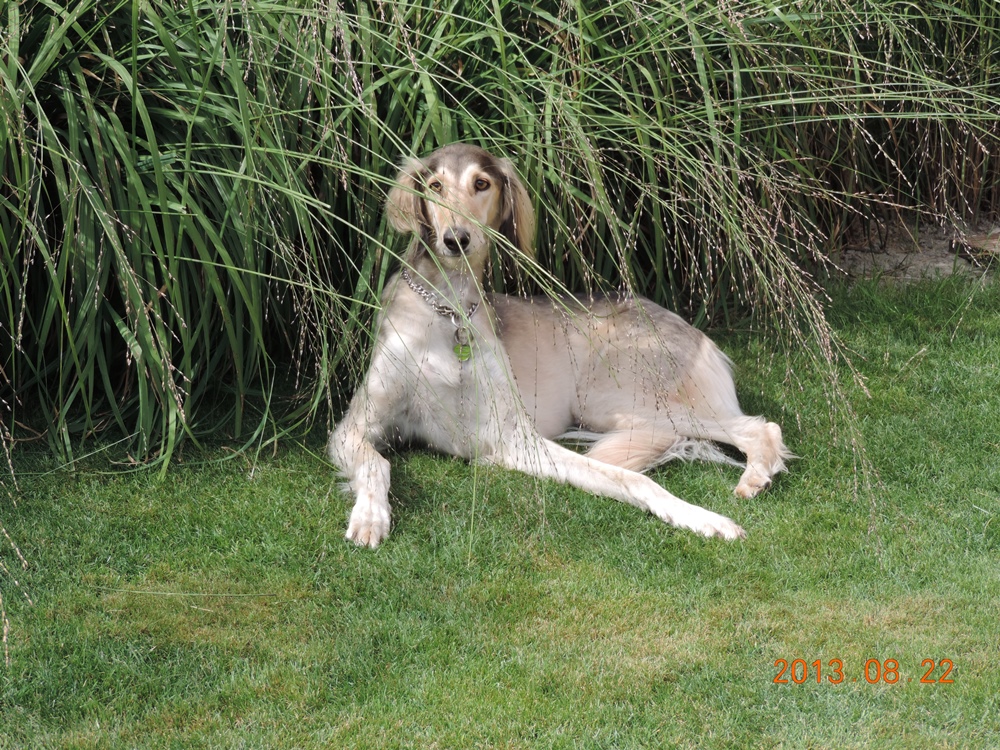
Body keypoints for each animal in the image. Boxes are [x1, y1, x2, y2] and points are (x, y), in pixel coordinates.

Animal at [328, 144, 788, 548]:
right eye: (435, 186)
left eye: (481, 184)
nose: (455, 239)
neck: (448, 310)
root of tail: (691, 329)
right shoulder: (352, 427)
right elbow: (377, 462)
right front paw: (370, 517)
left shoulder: (511, 436)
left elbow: (632, 478)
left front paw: (702, 518)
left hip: (619, 397)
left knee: (759, 426)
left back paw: (753, 478)